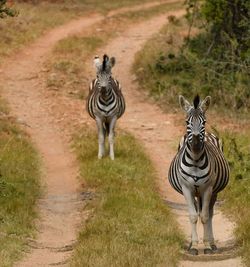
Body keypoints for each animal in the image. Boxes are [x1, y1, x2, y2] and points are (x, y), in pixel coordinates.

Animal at [168, 94, 230, 255]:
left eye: (204, 122)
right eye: (186, 122)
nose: (196, 143)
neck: (195, 160)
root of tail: (208, 133)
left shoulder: (207, 189)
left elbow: (205, 216)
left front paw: (207, 246)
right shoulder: (187, 188)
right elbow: (193, 216)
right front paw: (194, 246)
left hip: (212, 191)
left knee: (209, 213)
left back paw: (212, 243)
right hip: (195, 192)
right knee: (196, 211)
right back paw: (191, 242)